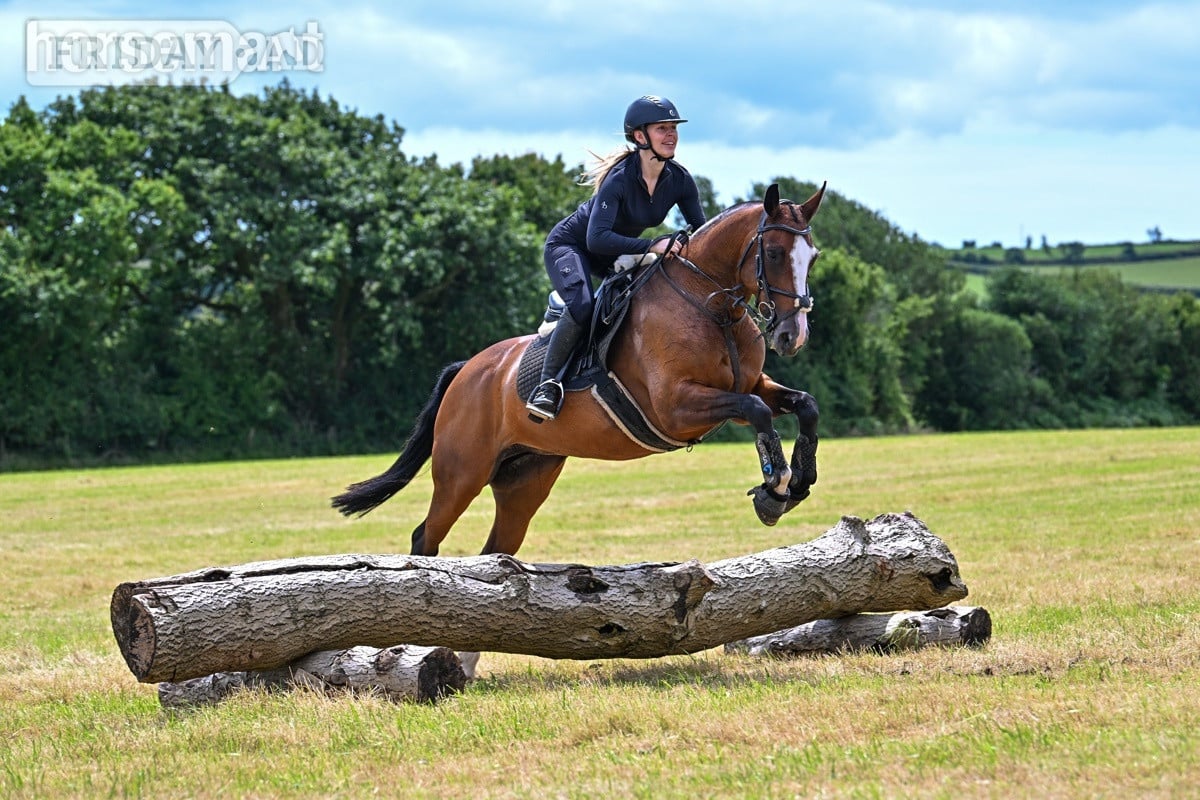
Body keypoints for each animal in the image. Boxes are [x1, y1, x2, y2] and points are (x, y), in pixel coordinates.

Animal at [332, 182, 826, 558]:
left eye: (814, 256)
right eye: (775, 253)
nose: (793, 335)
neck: (710, 305)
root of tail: (467, 370)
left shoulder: (748, 385)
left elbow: (803, 405)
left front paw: (799, 479)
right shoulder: (676, 408)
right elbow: (757, 410)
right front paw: (774, 488)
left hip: (525, 477)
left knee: (497, 550)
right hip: (460, 475)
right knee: (426, 538)